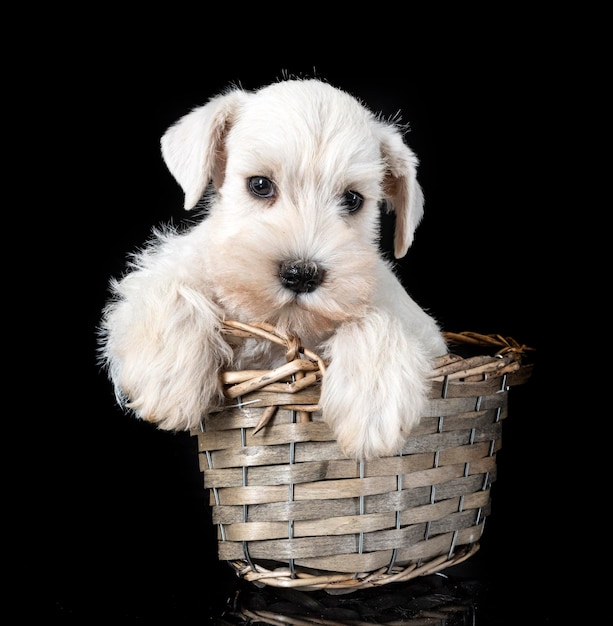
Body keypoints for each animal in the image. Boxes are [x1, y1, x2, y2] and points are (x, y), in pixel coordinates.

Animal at [99, 79, 444, 458]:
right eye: (260, 185)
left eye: (352, 199)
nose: (301, 274)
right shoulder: (164, 272)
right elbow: (170, 289)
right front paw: (168, 380)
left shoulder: (420, 328)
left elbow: (375, 319)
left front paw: (373, 407)